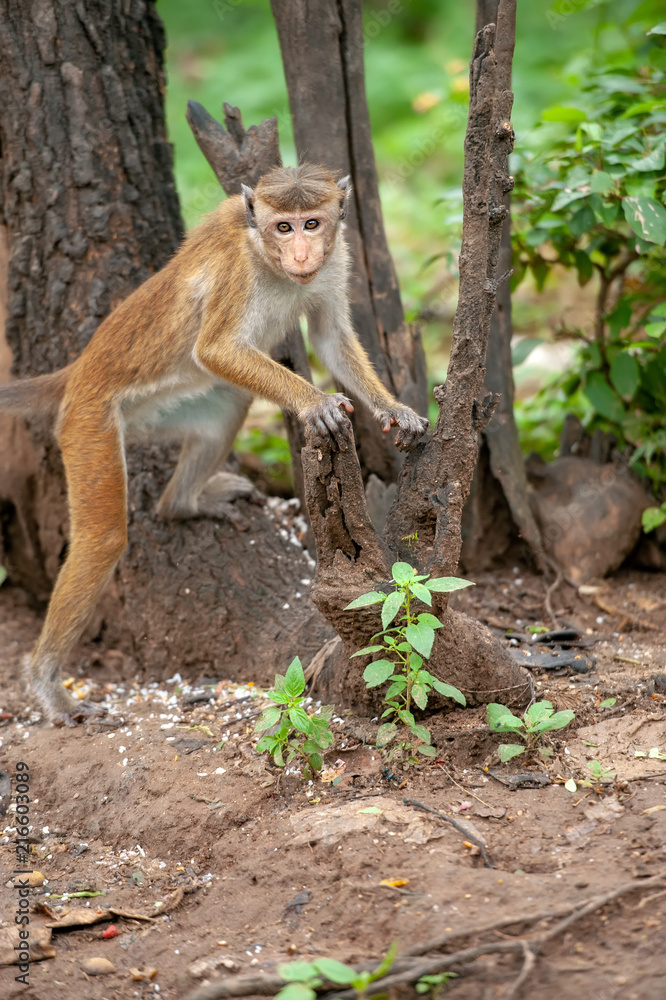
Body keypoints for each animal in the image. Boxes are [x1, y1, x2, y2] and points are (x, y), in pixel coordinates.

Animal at [0, 164, 426, 728]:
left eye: (311, 224)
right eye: (283, 227)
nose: (301, 254)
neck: (267, 260)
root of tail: (77, 373)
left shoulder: (337, 260)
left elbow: (331, 337)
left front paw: (392, 409)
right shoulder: (237, 273)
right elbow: (217, 349)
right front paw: (314, 403)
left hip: (156, 410)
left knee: (227, 404)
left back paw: (181, 504)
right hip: (88, 422)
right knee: (103, 537)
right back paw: (47, 682)